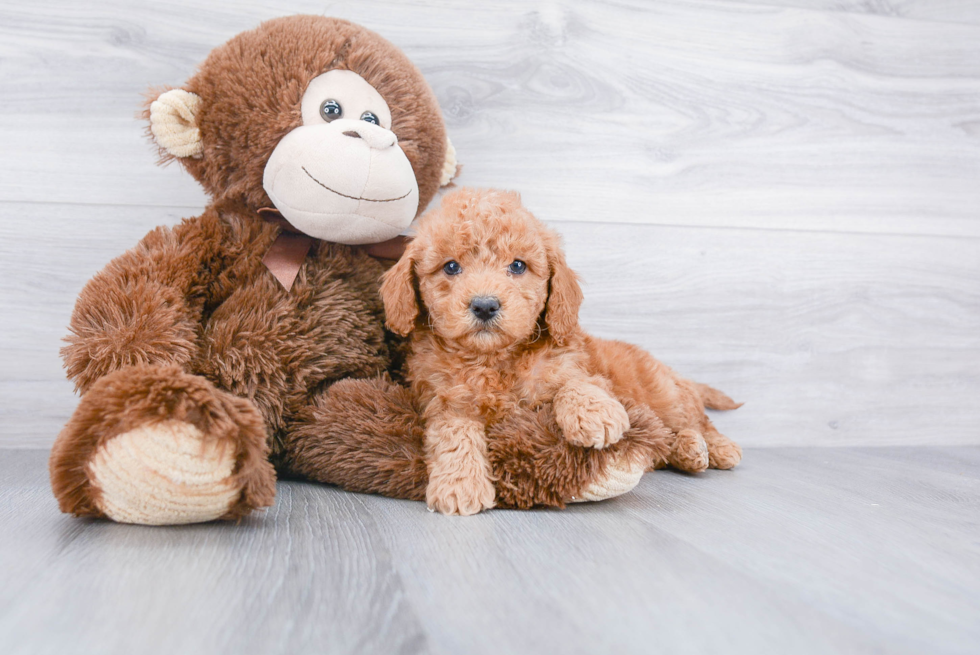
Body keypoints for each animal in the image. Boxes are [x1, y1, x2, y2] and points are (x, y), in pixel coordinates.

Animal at [382, 187, 744, 516]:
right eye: (451, 267)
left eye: (518, 266)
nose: (485, 305)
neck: (495, 358)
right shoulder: (442, 398)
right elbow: (455, 431)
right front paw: (460, 485)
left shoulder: (573, 366)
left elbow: (575, 383)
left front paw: (594, 414)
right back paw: (688, 451)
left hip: (668, 396)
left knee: (697, 420)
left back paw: (716, 447)